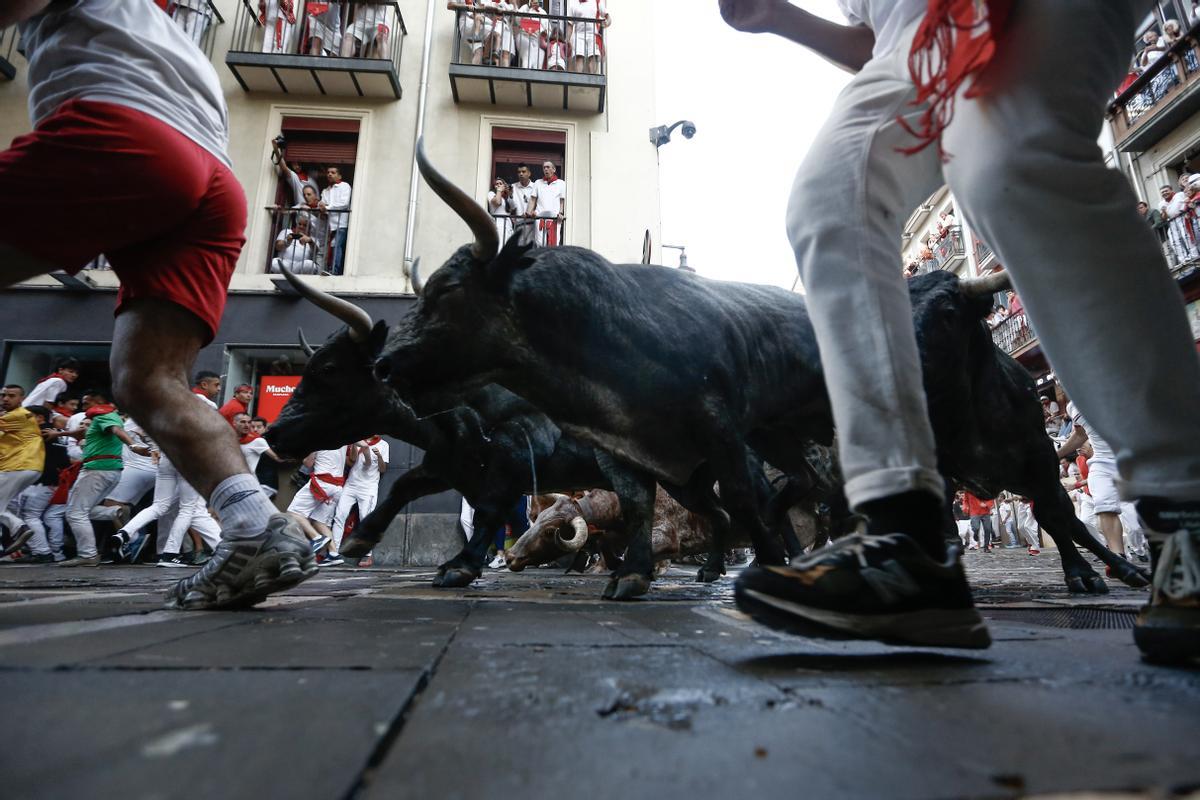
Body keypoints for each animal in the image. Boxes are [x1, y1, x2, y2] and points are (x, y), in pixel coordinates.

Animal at [372, 140, 1142, 597]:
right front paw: (634, 574)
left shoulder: (720, 430)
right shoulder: (645, 453)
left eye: (447, 293)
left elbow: (742, 500)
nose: (382, 361)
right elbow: (666, 506)